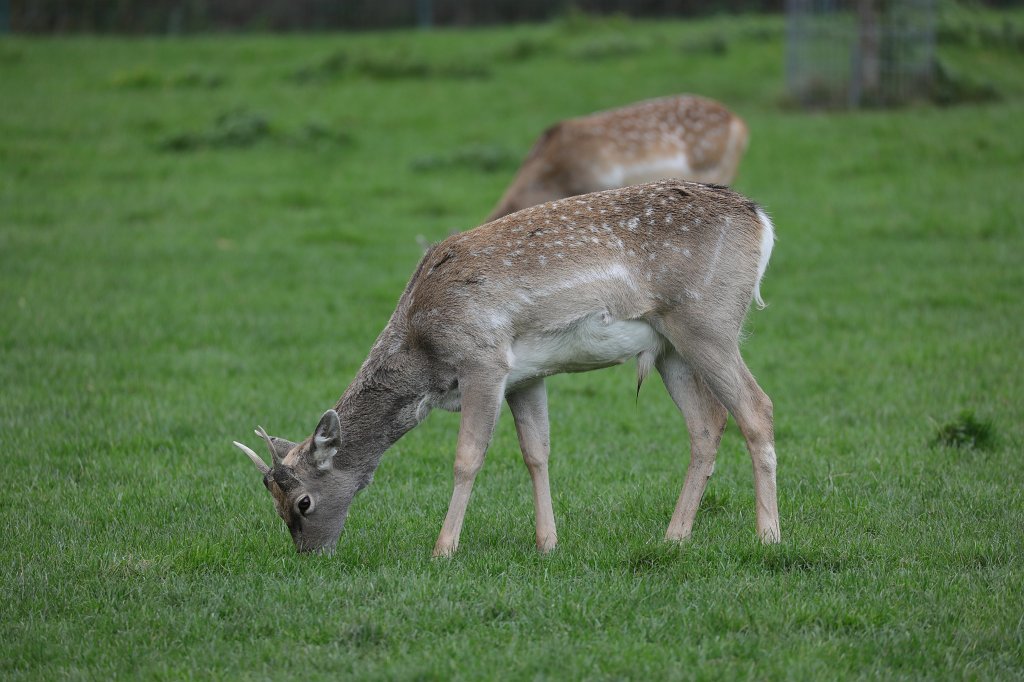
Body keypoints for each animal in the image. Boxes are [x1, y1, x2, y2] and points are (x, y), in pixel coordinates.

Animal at [233, 179, 779, 556]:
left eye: (302, 502)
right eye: (272, 501)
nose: (309, 554)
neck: (424, 356)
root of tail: (762, 221)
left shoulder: (485, 360)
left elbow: (468, 456)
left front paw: (443, 549)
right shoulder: (527, 376)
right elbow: (536, 453)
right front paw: (548, 543)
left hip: (708, 320)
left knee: (757, 407)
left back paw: (768, 536)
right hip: (669, 348)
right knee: (707, 424)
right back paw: (673, 538)